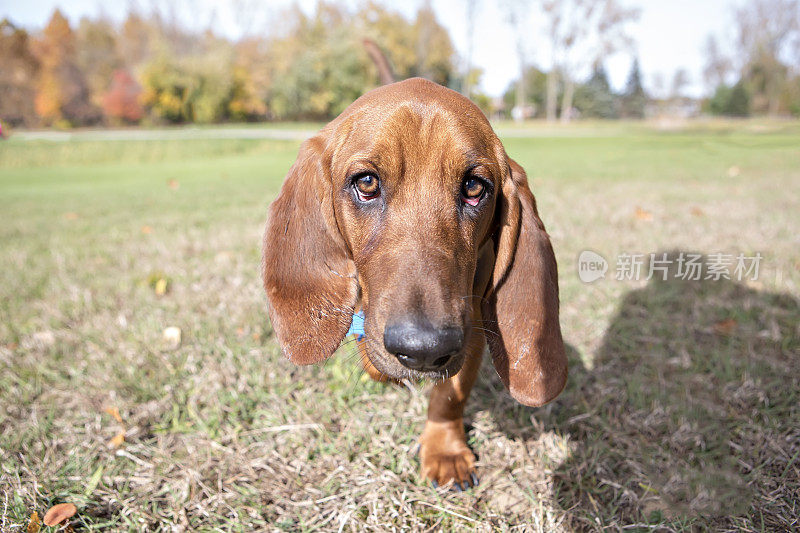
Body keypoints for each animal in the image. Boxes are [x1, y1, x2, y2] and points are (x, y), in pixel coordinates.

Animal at [264, 77, 568, 488]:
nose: (423, 349)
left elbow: (449, 396)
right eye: (366, 182)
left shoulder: (469, 326)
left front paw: (445, 450)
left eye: (475, 187)